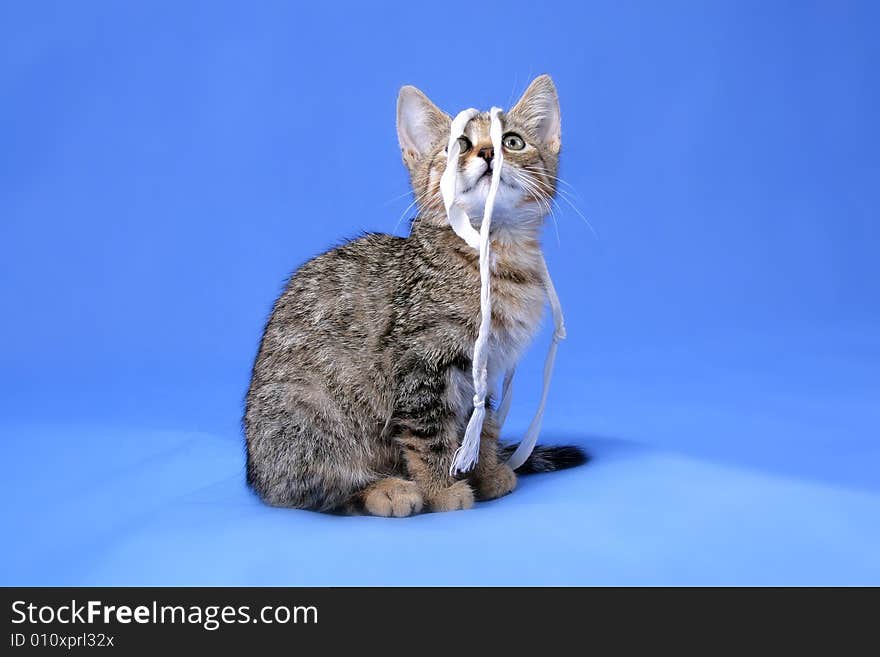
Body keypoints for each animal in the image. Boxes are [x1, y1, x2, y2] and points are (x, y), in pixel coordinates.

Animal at [242, 75, 584, 516]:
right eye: (458, 145)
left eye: (512, 141)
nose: (488, 152)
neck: (493, 249)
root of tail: (256, 472)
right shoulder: (419, 364)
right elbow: (429, 435)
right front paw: (443, 489)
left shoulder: (486, 369)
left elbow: (482, 427)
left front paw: (487, 472)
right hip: (309, 416)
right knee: (317, 488)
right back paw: (388, 490)